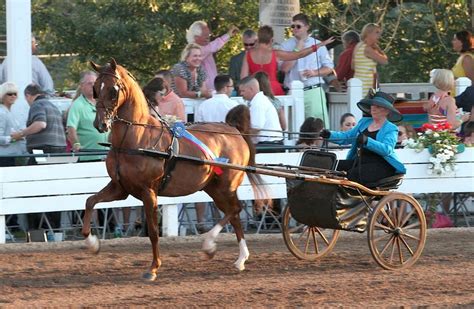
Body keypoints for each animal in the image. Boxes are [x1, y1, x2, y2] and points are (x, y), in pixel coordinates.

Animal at [82, 59, 266, 280]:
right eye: (95, 89)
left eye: (113, 90)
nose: (100, 124)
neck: (136, 139)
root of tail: (233, 129)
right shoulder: (120, 189)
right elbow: (90, 201)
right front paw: (92, 243)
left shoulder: (148, 191)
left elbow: (153, 231)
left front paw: (153, 268)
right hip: (213, 188)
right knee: (235, 213)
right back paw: (240, 259)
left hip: (226, 186)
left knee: (235, 210)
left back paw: (210, 245)